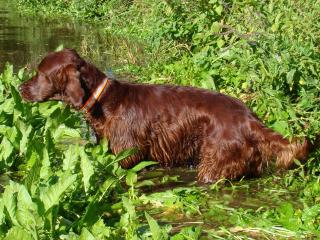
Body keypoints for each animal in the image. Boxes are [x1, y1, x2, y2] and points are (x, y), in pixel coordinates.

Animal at [18, 48, 308, 182]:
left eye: (41, 74)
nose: (20, 88)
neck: (105, 101)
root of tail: (250, 119)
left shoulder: (129, 156)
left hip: (214, 163)